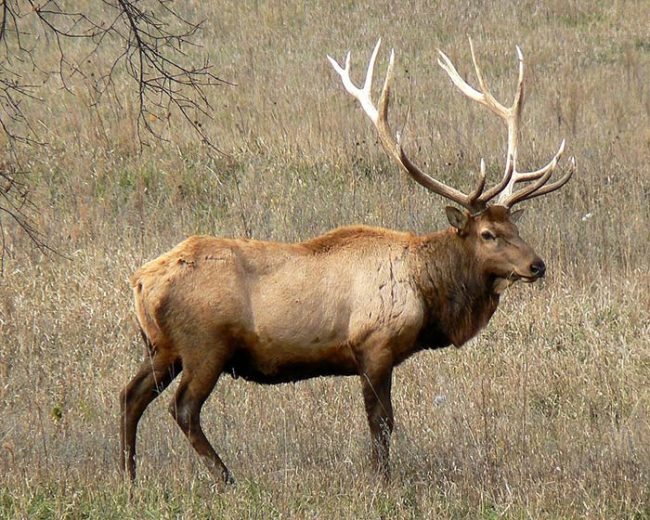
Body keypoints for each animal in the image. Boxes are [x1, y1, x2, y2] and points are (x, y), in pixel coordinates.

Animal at [120, 39, 572, 484]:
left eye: (514, 226)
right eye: (487, 234)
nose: (537, 265)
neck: (427, 293)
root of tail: (140, 280)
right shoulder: (374, 346)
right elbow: (382, 422)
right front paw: (382, 480)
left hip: (163, 347)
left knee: (130, 395)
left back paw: (130, 475)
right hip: (204, 344)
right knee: (182, 407)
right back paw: (226, 478)